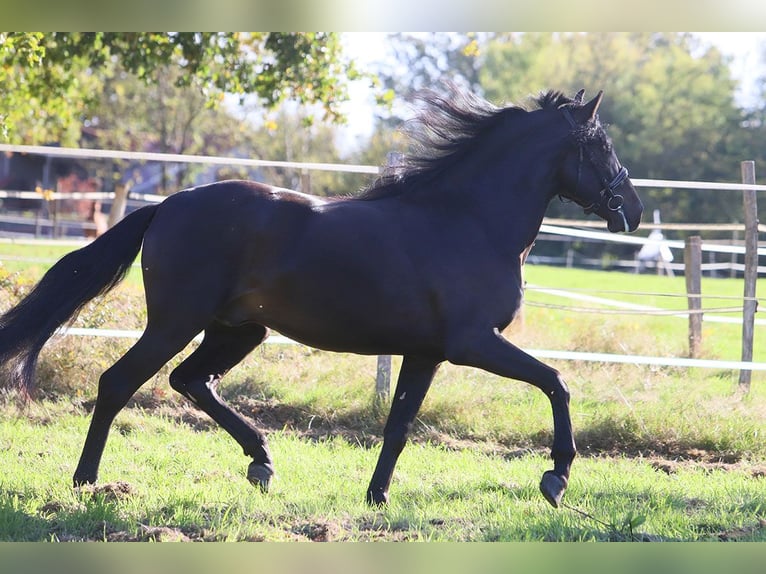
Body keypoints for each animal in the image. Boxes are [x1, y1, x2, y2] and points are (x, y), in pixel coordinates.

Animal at [0, 86, 643, 508]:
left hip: (239, 329)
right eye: (601, 144)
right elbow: (556, 382)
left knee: (190, 381)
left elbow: (399, 424)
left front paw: (377, 497)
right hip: (175, 323)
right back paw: (86, 483)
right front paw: (556, 478)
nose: (632, 212)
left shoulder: (426, 352)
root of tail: (167, 205)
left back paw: (261, 461)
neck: (469, 221)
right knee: (119, 382)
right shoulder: (471, 344)